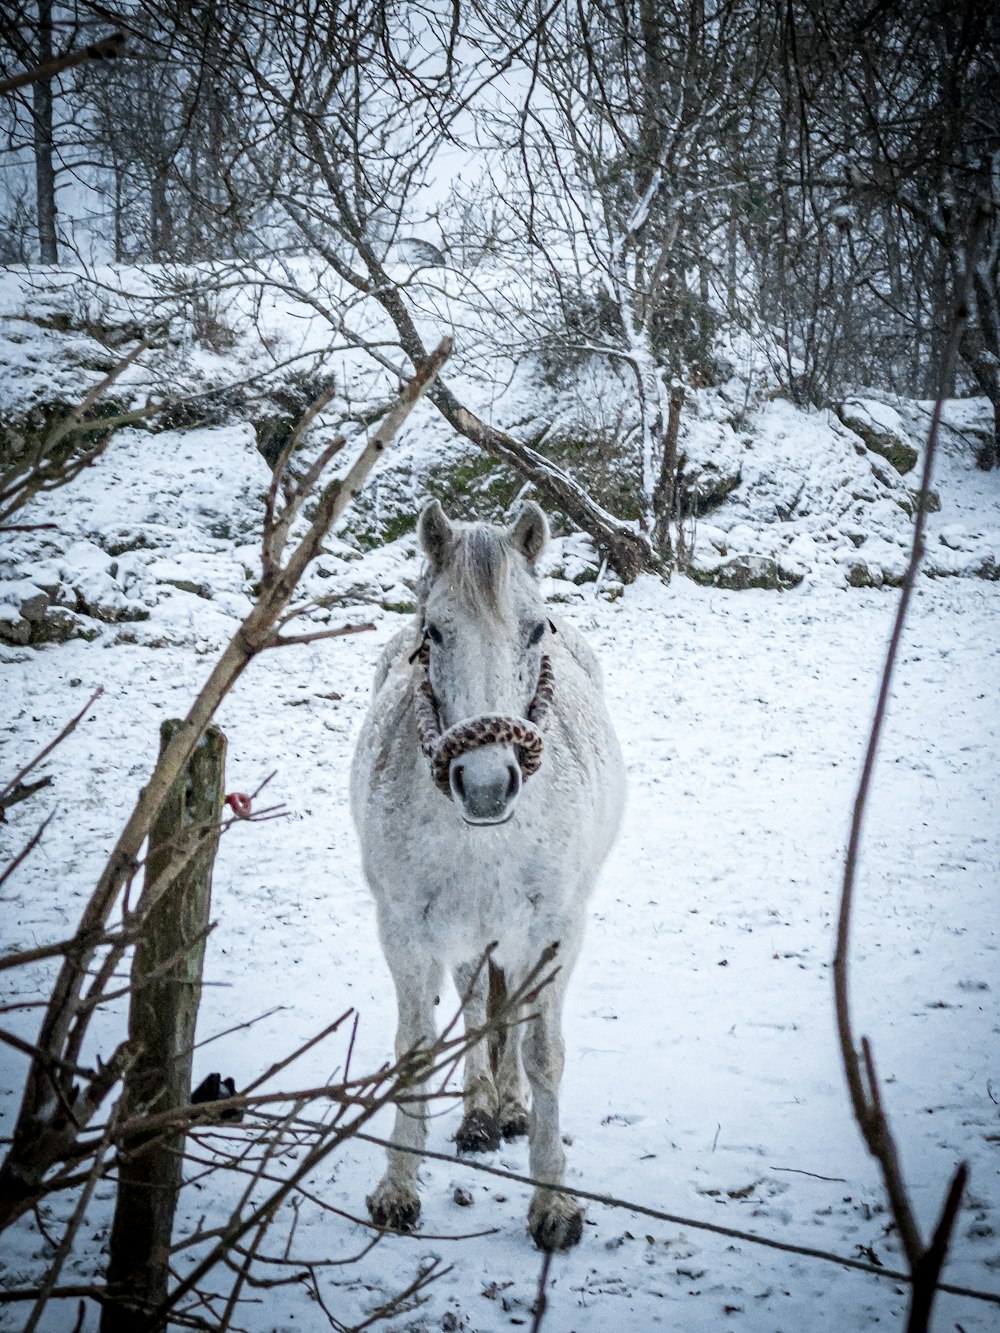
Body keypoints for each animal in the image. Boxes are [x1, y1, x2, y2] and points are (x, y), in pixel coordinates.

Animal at [352, 501, 626, 1247]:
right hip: (470, 935)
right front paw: (397, 1187)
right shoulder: (405, 933)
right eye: (434, 631)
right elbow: (417, 1048)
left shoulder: (555, 931)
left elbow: (542, 1052)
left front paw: (553, 1204)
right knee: (479, 1003)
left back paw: (509, 1110)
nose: (484, 785)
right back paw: (481, 1112)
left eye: (536, 628)